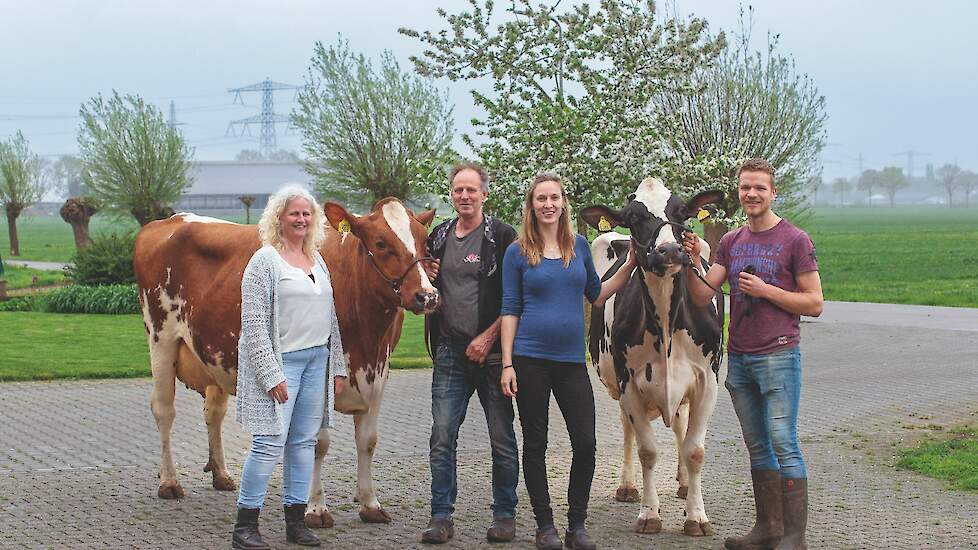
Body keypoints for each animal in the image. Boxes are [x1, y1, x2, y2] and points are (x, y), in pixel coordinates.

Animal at [132, 197, 436, 528]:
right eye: (381, 243)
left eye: (425, 240)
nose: (427, 296)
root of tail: (171, 221)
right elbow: (317, 443)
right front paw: (315, 509)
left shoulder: (379, 373)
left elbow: (368, 440)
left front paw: (370, 503)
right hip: (161, 338)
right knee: (164, 409)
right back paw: (169, 481)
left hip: (212, 353)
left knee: (213, 411)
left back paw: (222, 475)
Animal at [580, 180, 724, 540]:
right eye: (633, 217)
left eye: (683, 212)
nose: (669, 250)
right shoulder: (628, 383)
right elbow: (647, 449)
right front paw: (649, 514)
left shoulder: (707, 381)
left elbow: (694, 449)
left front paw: (696, 516)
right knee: (629, 429)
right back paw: (628, 486)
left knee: (682, 427)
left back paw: (685, 484)